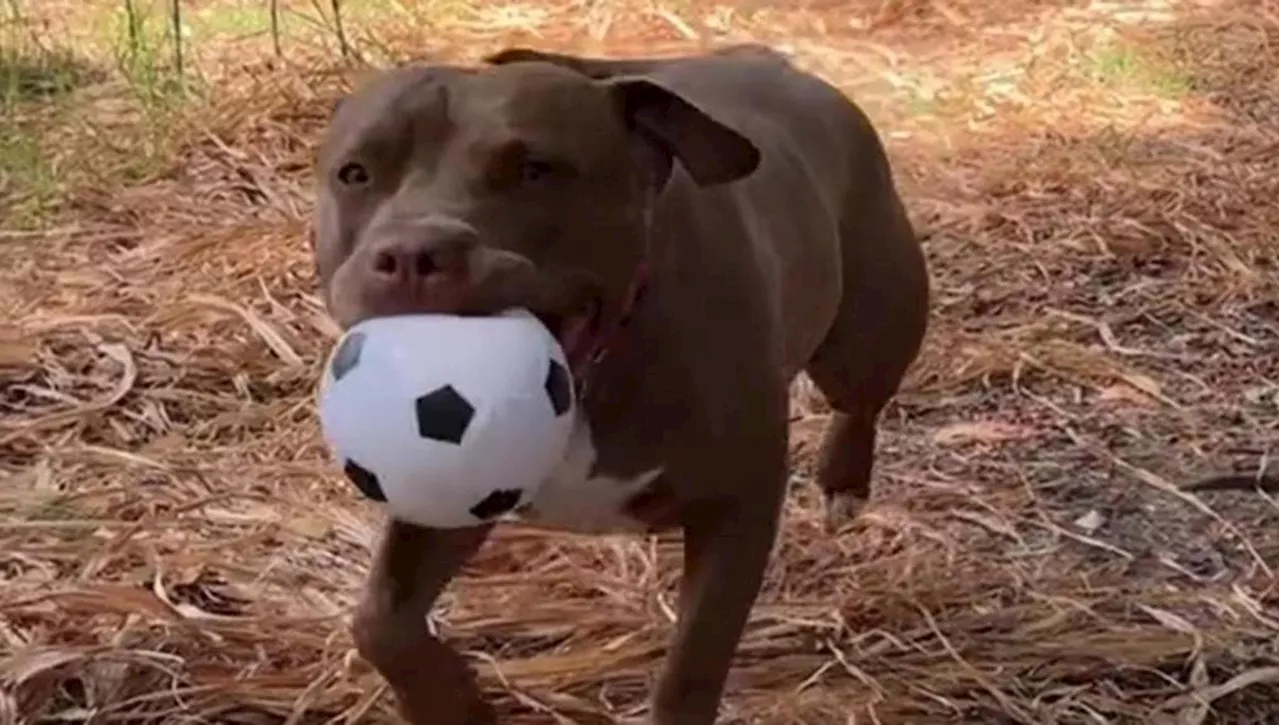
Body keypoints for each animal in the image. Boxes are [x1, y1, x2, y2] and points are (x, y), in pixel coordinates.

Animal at [309, 45, 931, 725]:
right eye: (356, 174)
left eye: (535, 170)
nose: (413, 252)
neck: (591, 369)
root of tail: (767, 59)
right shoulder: (442, 494)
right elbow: (379, 620)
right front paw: (455, 704)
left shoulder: (738, 505)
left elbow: (694, 659)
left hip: (866, 334)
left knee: (860, 400)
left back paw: (844, 483)